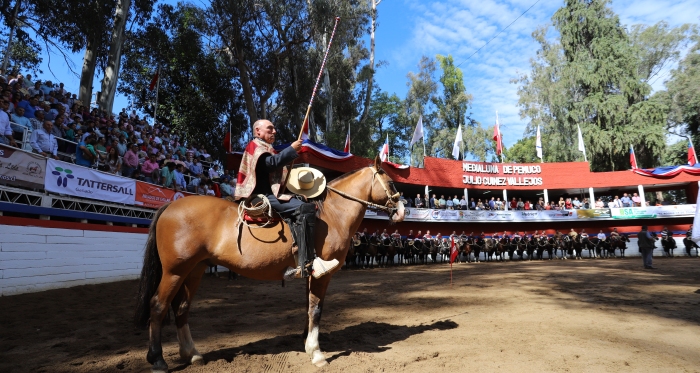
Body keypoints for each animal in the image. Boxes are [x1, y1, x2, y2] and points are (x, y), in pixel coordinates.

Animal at [134, 157, 404, 372]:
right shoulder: (321, 276)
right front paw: (316, 353)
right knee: (158, 306)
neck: (331, 214)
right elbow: (316, 309)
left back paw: (191, 354)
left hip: (194, 271)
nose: (401, 211)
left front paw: (307, 343)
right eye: (391, 184)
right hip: (174, 271)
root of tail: (171, 205)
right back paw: (157, 359)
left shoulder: (309, 274)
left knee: (181, 308)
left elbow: (309, 308)